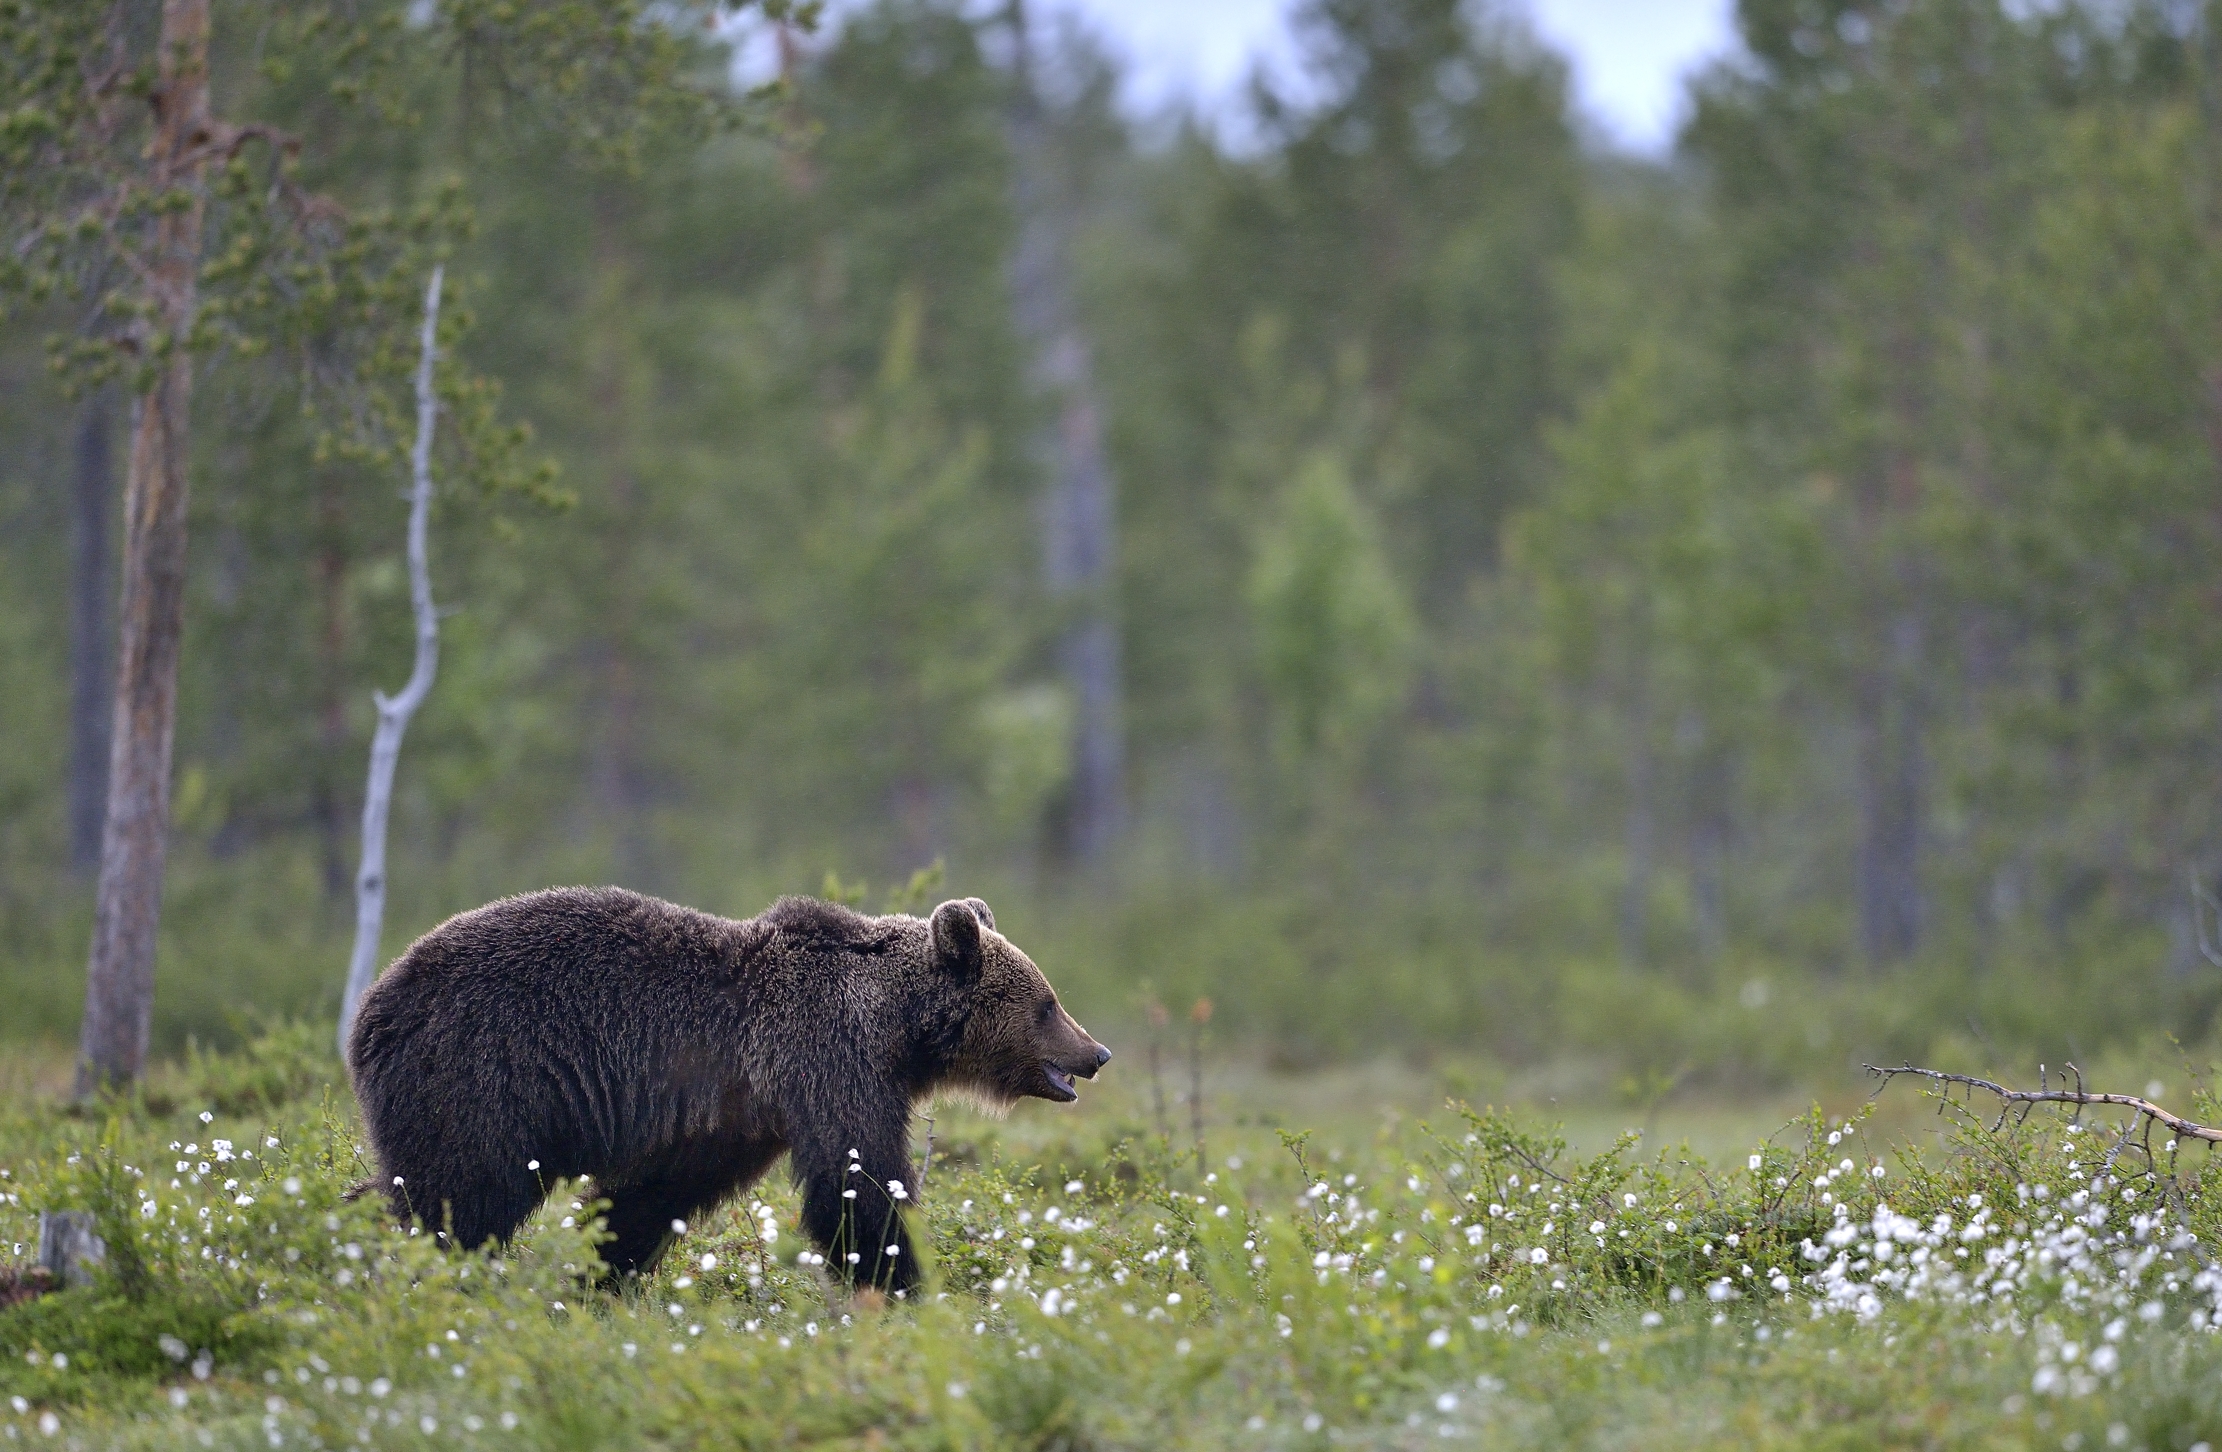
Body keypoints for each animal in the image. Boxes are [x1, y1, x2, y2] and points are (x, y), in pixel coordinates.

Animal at [346, 888, 1108, 1291]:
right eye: (1047, 1004)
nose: (1096, 1053)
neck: (894, 1024)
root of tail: (371, 1006)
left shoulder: (730, 1113)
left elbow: (651, 1194)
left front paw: (601, 1273)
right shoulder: (827, 1061)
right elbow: (857, 1184)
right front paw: (904, 1282)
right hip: (480, 1072)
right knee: (460, 1191)